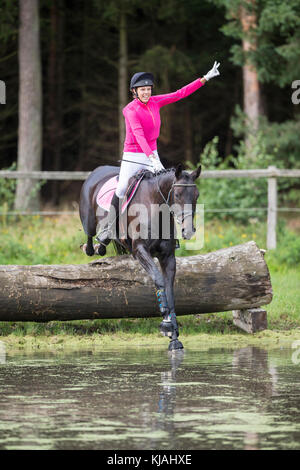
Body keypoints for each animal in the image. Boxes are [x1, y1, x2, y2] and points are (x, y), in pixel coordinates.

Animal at [79, 163, 202, 350]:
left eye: (196, 195)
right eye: (178, 194)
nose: (188, 231)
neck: (156, 207)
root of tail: (97, 170)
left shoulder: (167, 257)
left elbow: (169, 288)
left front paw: (174, 337)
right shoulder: (140, 250)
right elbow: (159, 280)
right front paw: (166, 324)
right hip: (90, 221)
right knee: (90, 237)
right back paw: (94, 246)